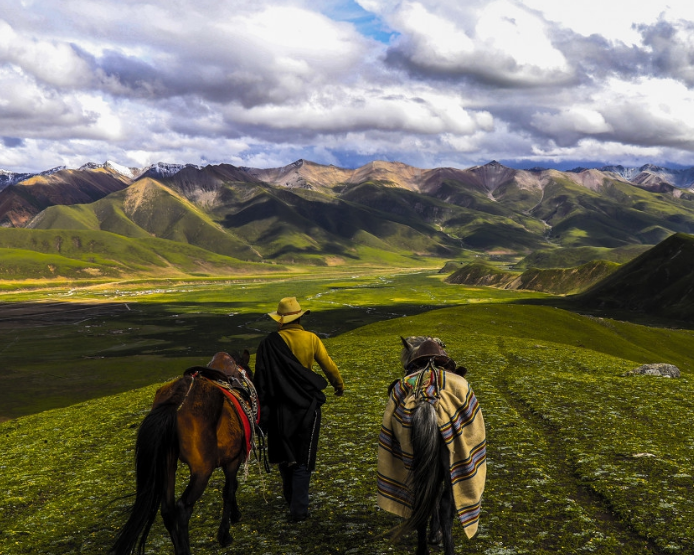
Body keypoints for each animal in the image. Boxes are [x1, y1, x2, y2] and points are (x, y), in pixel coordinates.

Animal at [113, 352, 254, 555]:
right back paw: (186, 549)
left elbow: (231, 487)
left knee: (167, 509)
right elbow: (229, 490)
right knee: (183, 507)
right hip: (202, 470)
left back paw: (179, 548)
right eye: (250, 373)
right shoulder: (233, 459)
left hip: (168, 464)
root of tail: (176, 400)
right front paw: (225, 533)